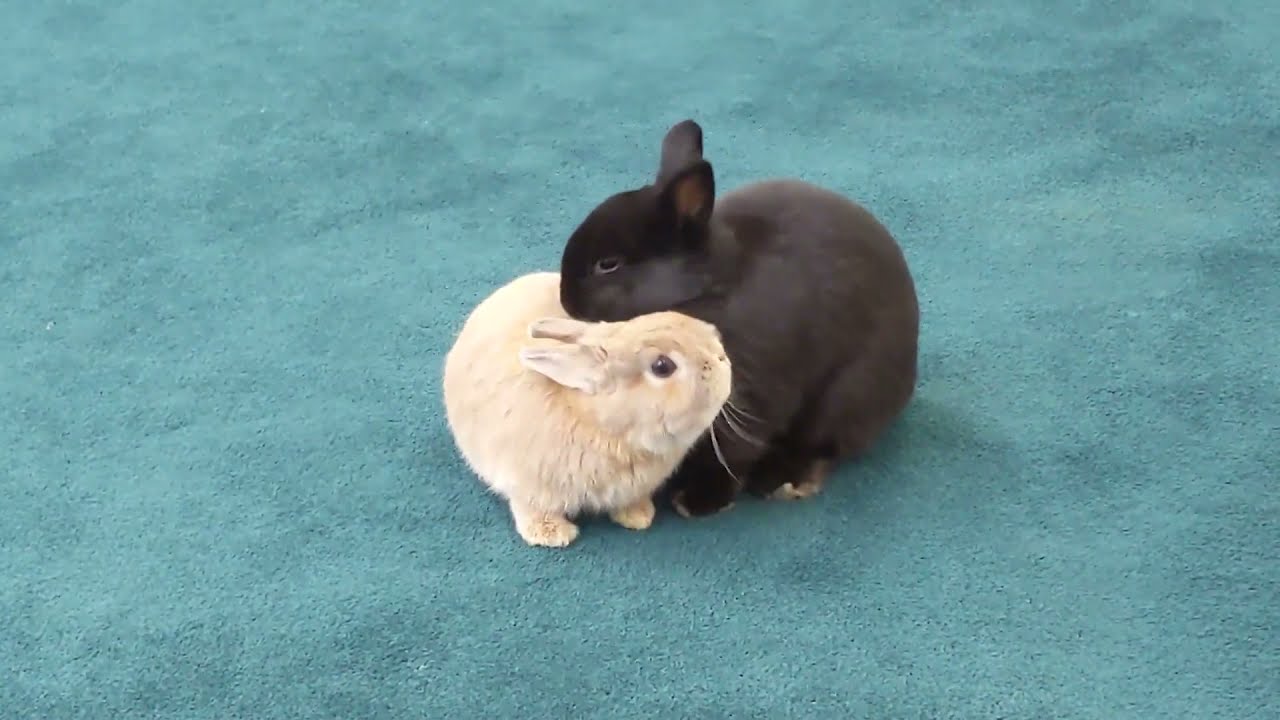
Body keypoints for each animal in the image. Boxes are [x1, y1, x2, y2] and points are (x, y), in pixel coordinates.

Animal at [441, 271, 733, 547]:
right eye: (662, 366)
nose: (721, 355)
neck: (604, 429)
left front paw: (638, 516)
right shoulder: (526, 484)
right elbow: (530, 506)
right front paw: (552, 534)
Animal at [555, 119, 920, 519]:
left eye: (608, 264)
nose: (565, 299)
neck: (707, 291)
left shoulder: (752, 393)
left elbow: (732, 452)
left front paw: (698, 501)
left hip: (845, 396)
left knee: (824, 445)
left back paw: (781, 481)